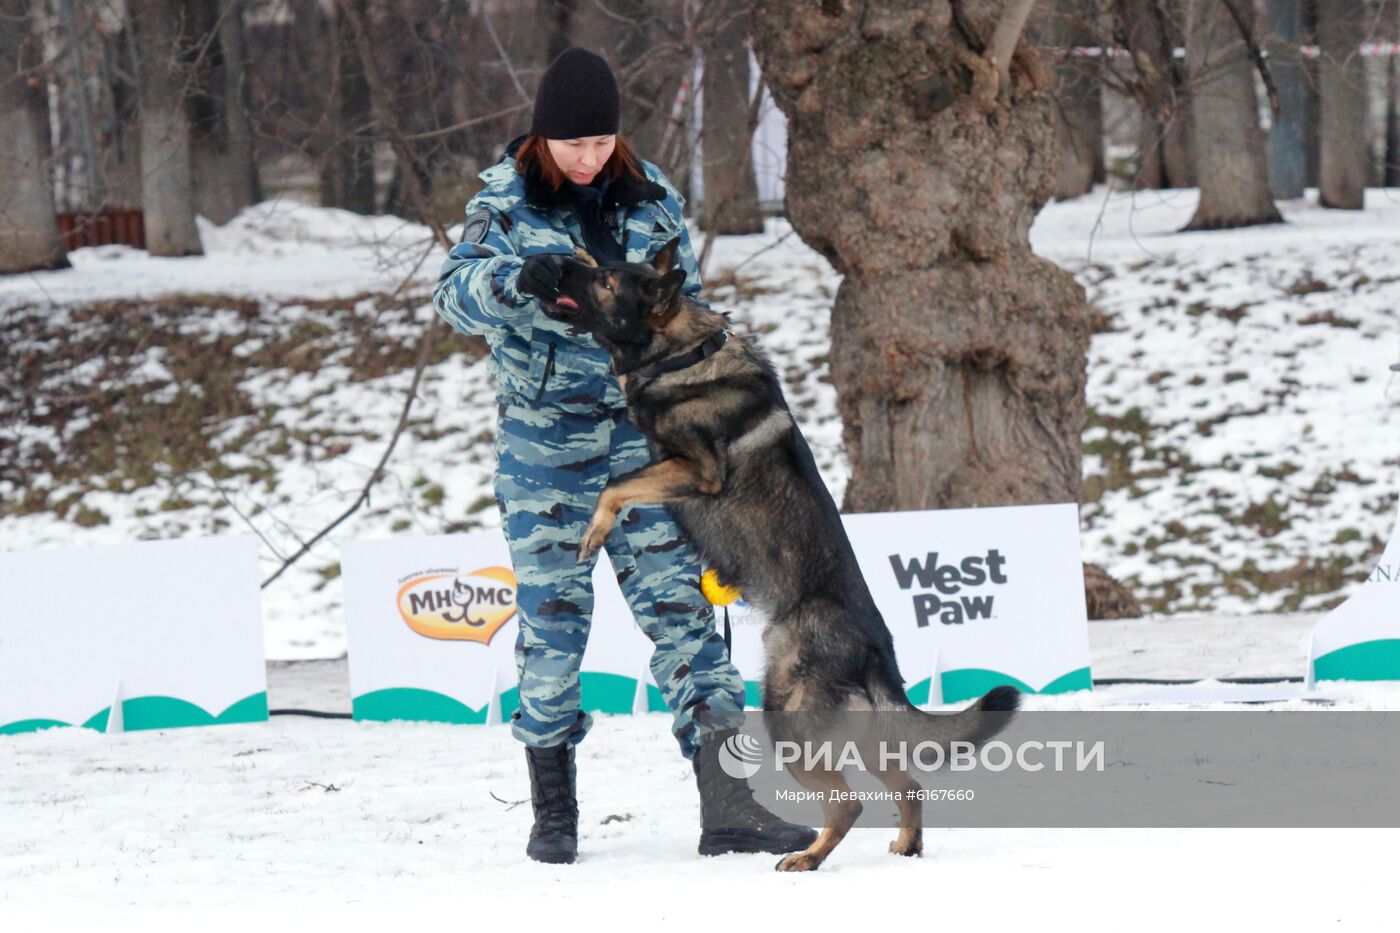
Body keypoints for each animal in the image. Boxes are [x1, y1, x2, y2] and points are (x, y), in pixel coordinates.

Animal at [537, 236, 1019, 868]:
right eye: (600, 266)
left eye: (607, 283)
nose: (556, 262)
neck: (684, 353)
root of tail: (874, 649)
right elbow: (619, 480)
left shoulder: (696, 470)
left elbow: (613, 487)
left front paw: (594, 529)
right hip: (856, 733)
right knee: (907, 782)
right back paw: (904, 846)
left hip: (786, 715)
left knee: (848, 803)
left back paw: (809, 858)